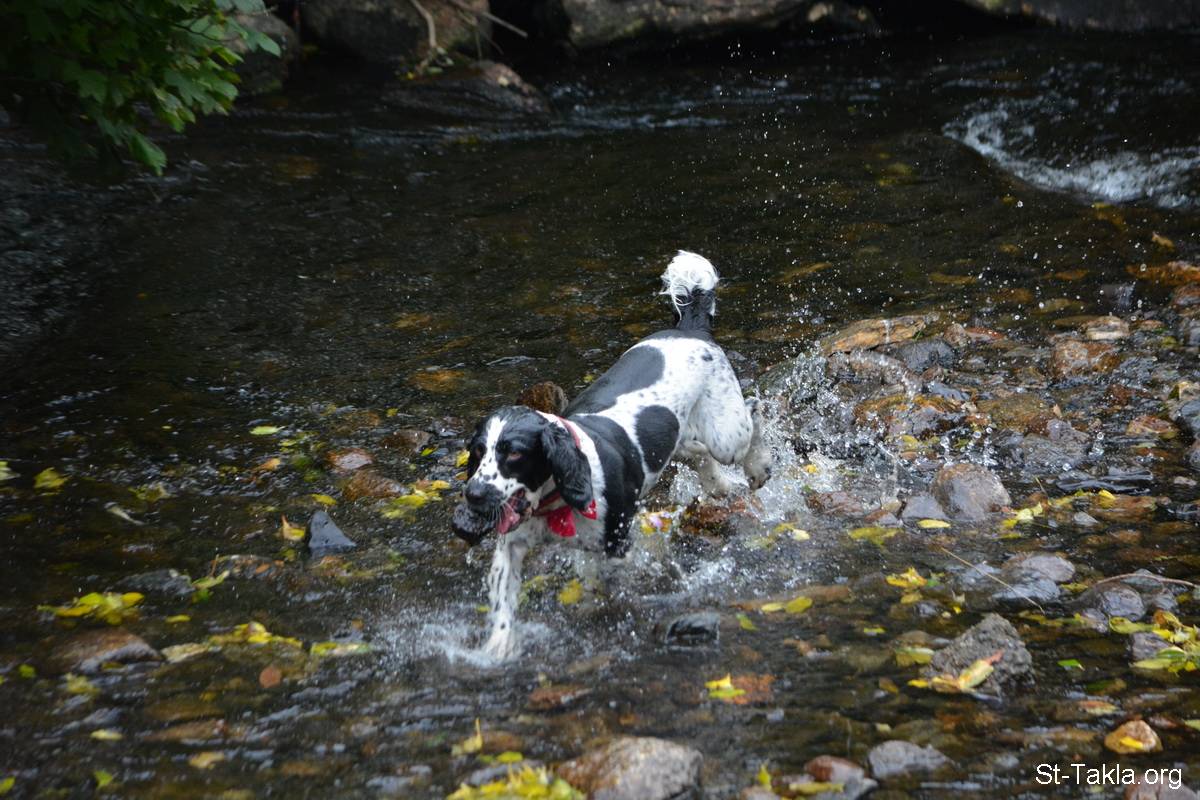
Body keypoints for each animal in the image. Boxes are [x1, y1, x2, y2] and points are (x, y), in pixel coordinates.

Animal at [451, 251, 772, 659]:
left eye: (515, 454)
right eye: (477, 453)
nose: (473, 494)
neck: (557, 501)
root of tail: (691, 328)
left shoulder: (617, 545)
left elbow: (609, 577)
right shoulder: (513, 546)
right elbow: (504, 600)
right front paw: (499, 647)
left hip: (726, 433)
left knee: (754, 410)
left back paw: (760, 466)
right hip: (679, 439)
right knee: (700, 453)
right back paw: (717, 485)